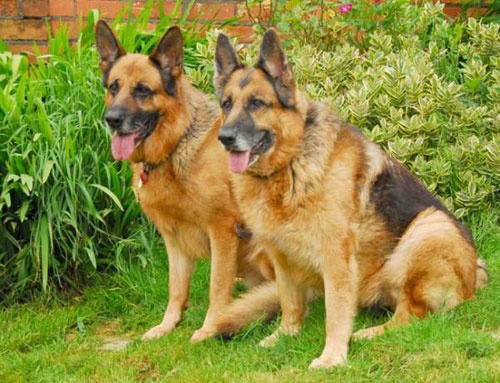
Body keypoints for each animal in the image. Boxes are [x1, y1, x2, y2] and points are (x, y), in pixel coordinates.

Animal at [93, 21, 274, 344]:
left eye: (142, 90)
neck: (175, 146)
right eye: (114, 87)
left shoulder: (222, 232)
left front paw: (209, 328)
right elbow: (176, 288)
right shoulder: (172, 237)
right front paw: (167, 325)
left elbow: (217, 287)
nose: (111, 119)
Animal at [214, 29, 488, 368]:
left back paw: (369, 334)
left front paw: (332, 357)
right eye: (226, 104)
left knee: (413, 314)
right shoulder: (281, 256)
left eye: (256, 103)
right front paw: (284, 335)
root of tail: (475, 277)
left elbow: (336, 313)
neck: (289, 164)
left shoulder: (337, 259)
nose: (225, 138)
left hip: (428, 229)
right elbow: (290, 303)